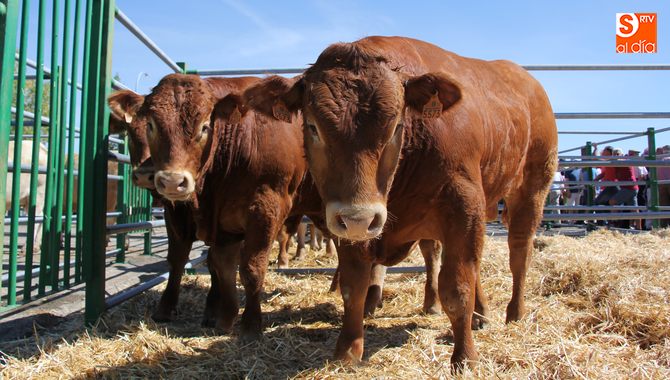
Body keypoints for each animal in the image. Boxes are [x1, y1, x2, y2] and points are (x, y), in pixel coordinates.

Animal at [244, 36, 560, 368]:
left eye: (396, 126)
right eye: (313, 127)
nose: (359, 218)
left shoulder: (463, 207)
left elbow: (457, 288)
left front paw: (465, 357)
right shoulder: (346, 220)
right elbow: (353, 286)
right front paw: (347, 352)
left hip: (532, 189)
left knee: (519, 251)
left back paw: (516, 313)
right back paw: (481, 313)